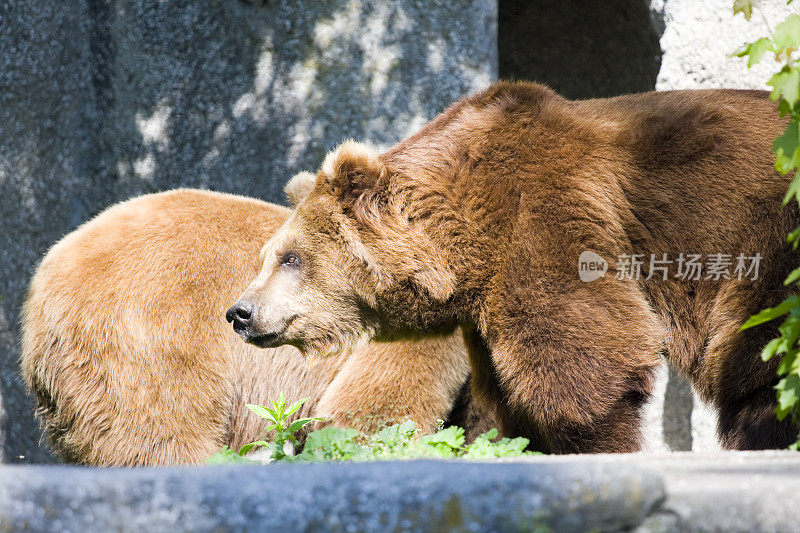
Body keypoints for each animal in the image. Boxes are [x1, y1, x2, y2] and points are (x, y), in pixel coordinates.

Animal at [227, 80, 800, 454]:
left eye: (292, 258)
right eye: (268, 256)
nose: (240, 312)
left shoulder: (545, 213)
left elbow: (583, 356)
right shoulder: (482, 305)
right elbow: (505, 398)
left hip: (768, 239)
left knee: (758, 357)